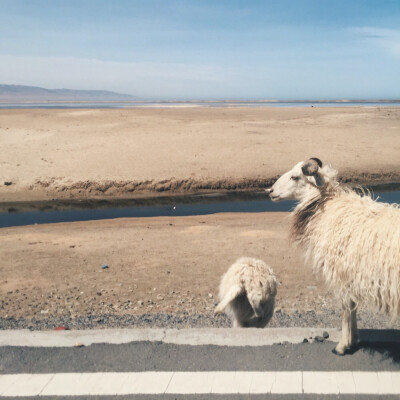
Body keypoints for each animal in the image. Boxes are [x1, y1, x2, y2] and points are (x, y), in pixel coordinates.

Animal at [268, 158, 400, 354]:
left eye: (295, 177)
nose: (270, 191)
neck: (328, 206)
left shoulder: (341, 274)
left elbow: (346, 309)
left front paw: (342, 346)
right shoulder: (350, 276)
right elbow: (352, 309)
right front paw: (354, 339)